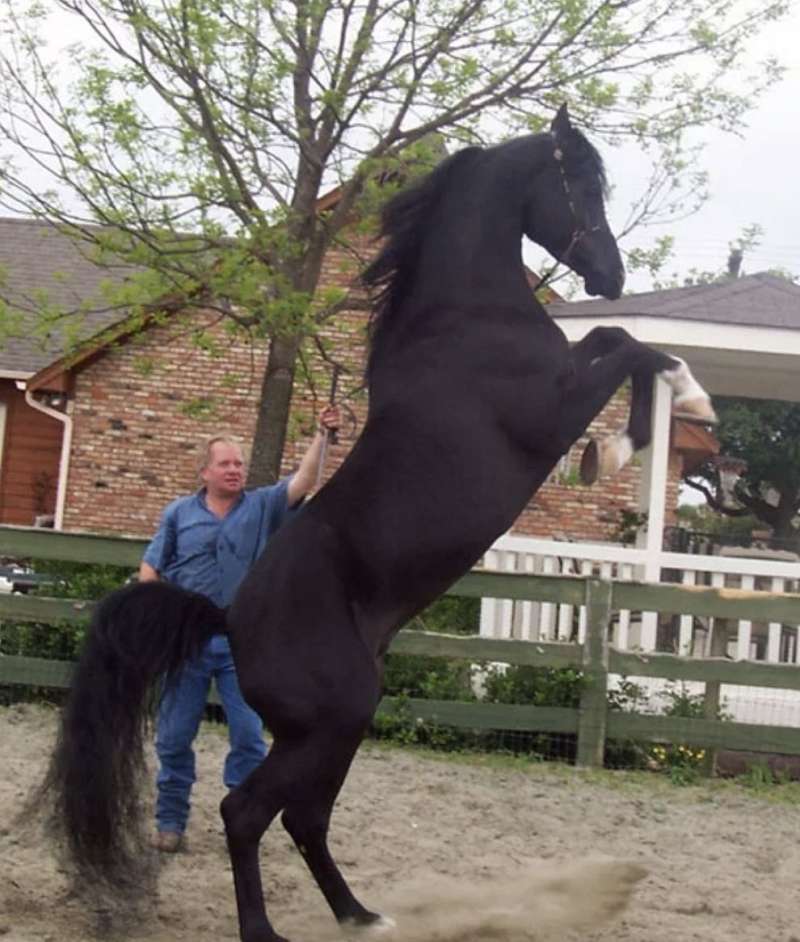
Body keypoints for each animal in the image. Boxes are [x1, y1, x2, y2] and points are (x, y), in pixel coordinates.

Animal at [41, 104, 714, 942]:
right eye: (583, 182)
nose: (611, 276)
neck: (467, 320)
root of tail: (227, 616)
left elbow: (614, 341)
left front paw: (654, 416)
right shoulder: (546, 412)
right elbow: (629, 348)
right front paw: (634, 437)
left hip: (333, 729)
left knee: (303, 819)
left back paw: (361, 914)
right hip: (334, 721)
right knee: (245, 812)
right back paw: (268, 930)